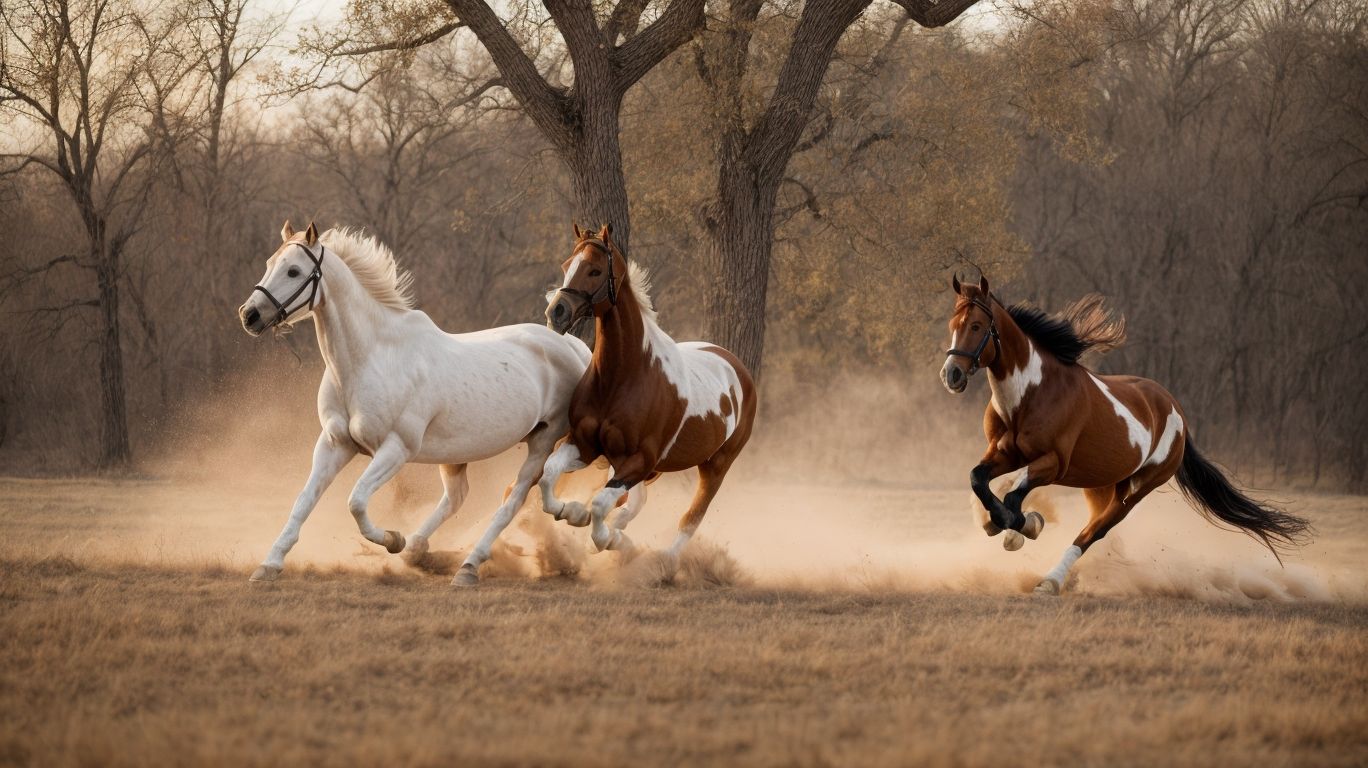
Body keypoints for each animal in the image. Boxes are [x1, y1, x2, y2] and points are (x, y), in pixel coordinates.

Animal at [238, 221, 590, 586]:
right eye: (269, 263)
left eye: (293, 270)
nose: (249, 315)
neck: (369, 358)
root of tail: (575, 349)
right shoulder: (335, 443)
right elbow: (304, 500)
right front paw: (269, 565)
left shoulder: (396, 449)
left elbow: (356, 501)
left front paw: (393, 539)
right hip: (457, 453)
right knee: (457, 497)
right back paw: (420, 551)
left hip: (544, 439)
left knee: (515, 497)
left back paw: (471, 564)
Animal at [536, 224, 757, 566]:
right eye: (566, 265)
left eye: (595, 270)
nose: (557, 312)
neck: (621, 378)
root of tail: (737, 367)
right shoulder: (584, 445)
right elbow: (549, 476)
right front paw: (570, 512)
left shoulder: (639, 460)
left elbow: (600, 504)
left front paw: (608, 540)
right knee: (634, 501)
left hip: (716, 466)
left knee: (691, 518)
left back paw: (663, 563)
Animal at [939, 275, 1310, 594]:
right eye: (952, 326)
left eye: (976, 326)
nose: (951, 374)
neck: (1031, 393)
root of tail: (1176, 412)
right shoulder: (1005, 452)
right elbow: (978, 479)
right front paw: (1002, 523)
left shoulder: (1054, 463)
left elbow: (1015, 495)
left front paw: (1024, 523)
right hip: (1101, 483)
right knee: (1093, 523)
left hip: (1135, 490)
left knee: (1094, 531)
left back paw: (1051, 581)